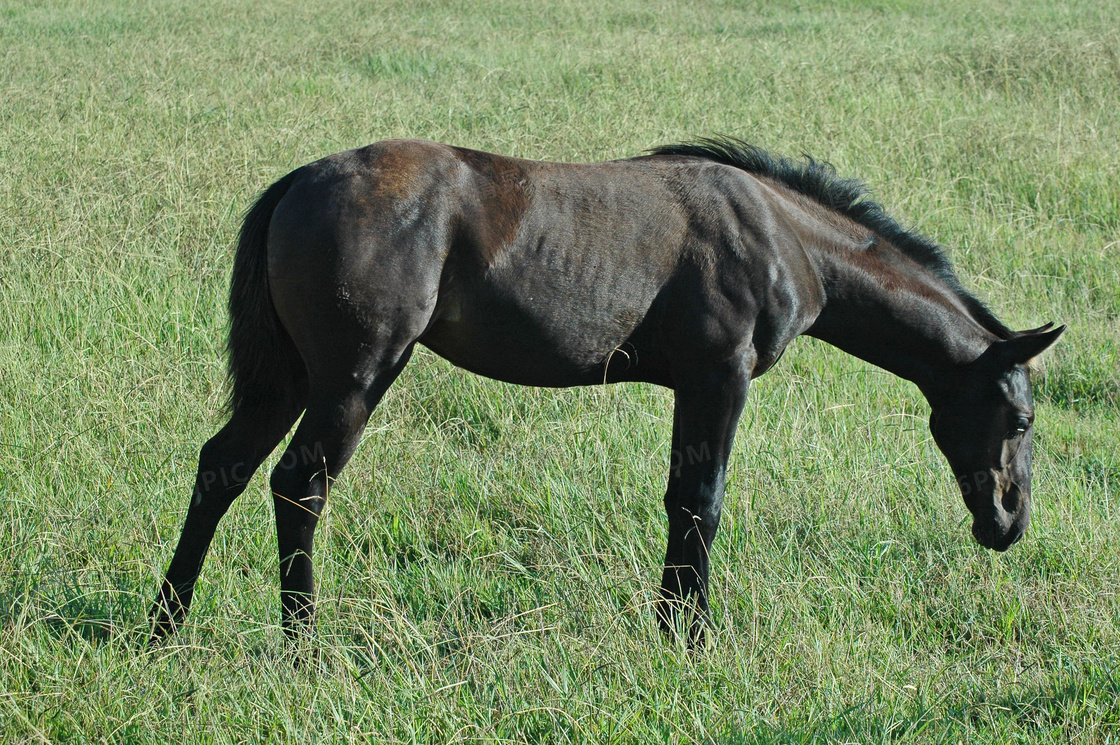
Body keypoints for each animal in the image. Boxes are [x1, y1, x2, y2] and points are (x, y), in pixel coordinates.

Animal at [148, 136, 1066, 640]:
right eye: (1020, 417)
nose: (1006, 522)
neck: (782, 235)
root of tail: (298, 181)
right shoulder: (717, 377)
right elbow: (701, 502)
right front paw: (689, 638)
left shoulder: (695, 386)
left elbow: (682, 502)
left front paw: (673, 628)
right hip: (354, 377)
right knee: (299, 483)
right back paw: (302, 641)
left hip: (289, 379)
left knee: (223, 468)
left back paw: (167, 623)